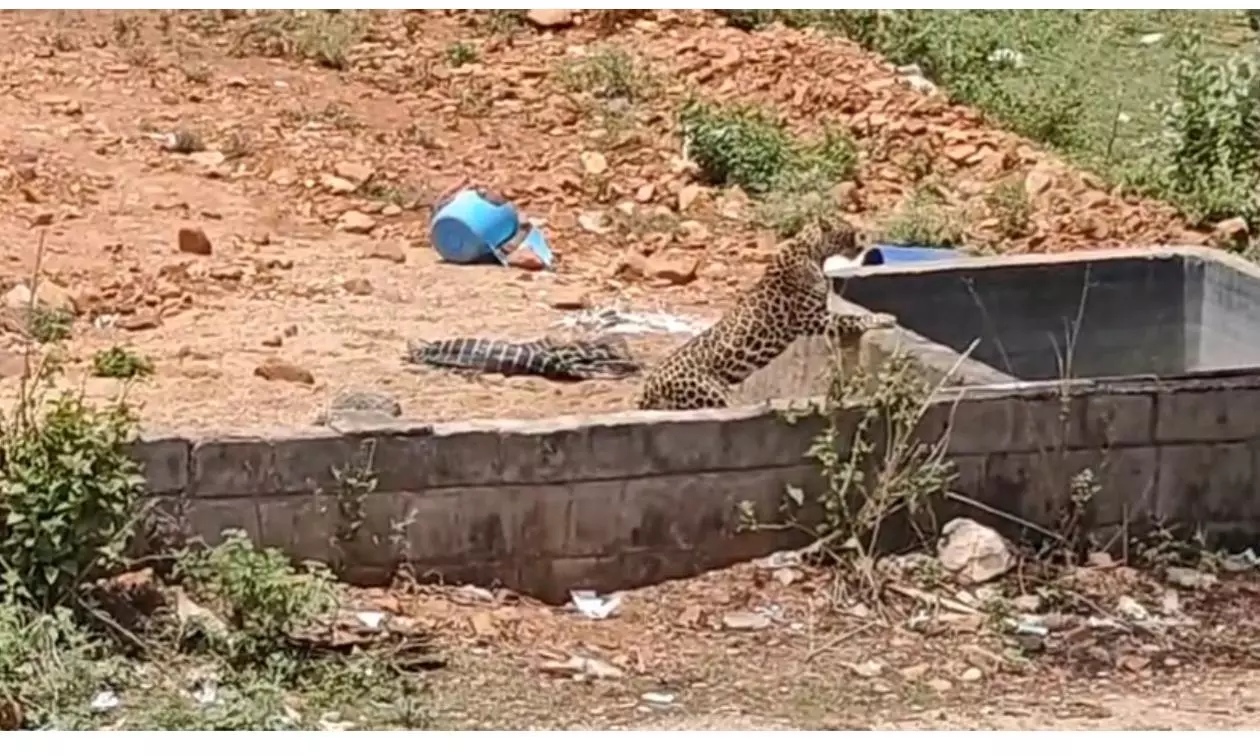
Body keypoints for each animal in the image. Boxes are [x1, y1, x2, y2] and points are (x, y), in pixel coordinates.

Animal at [635, 215, 897, 411]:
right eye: (848, 232)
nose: (862, 246)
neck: (812, 252)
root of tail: (648, 385)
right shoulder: (812, 318)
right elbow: (851, 318)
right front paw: (883, 318)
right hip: (713, 393)